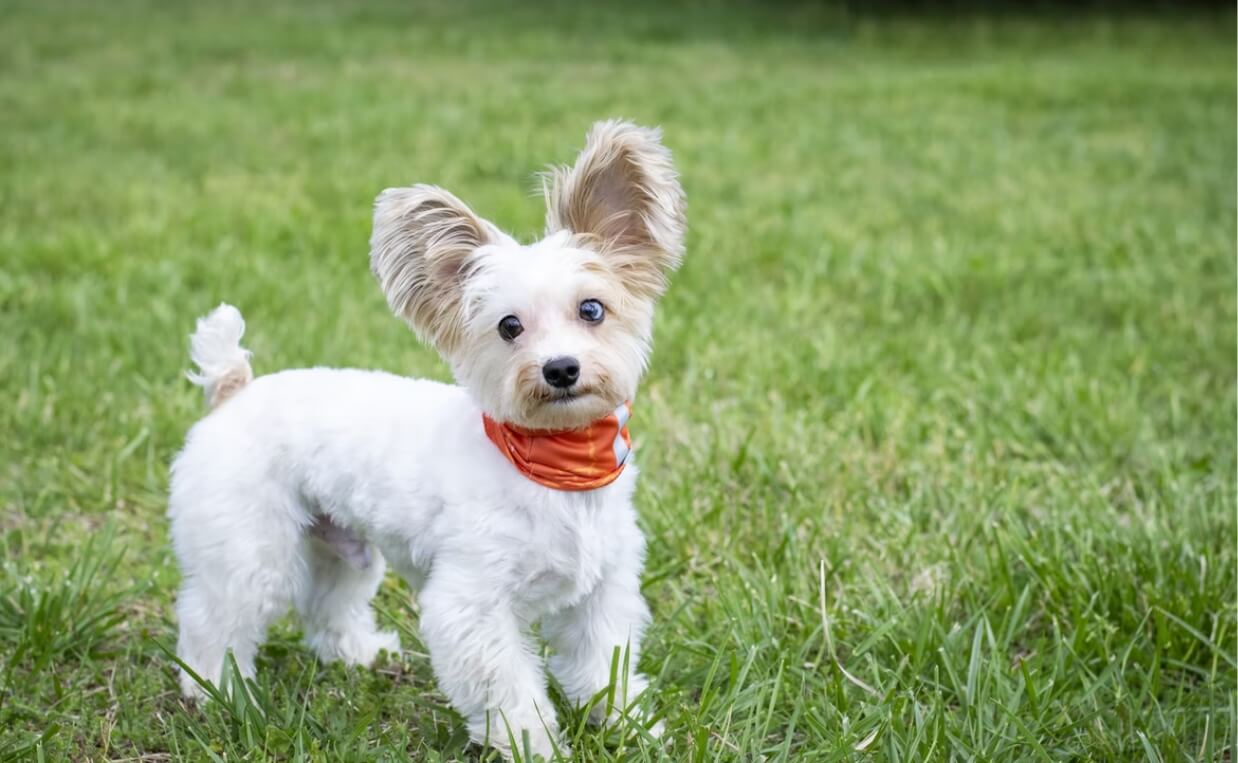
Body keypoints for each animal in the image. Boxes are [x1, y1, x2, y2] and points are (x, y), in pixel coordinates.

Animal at [167, 118, 688, 758]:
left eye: (592, 309)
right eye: (508, 327)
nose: (561, 369)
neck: (554, 463)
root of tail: (233, 387)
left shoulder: (602, 593)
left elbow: (601, 667)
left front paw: (628, 725)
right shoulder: (472, 605)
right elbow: (510, 691)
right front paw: (535, 745)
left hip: (343, 547)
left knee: (326, 603)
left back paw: (357, 654)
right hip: (247, 551)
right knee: (212, 621)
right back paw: (217, 692)